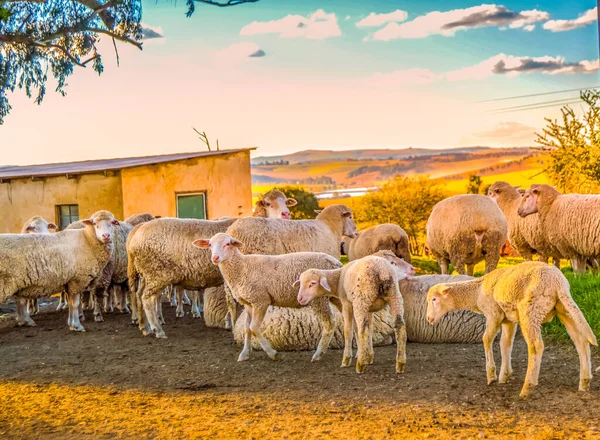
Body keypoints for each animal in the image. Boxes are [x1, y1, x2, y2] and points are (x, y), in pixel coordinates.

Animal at [193, 232, 342, 362]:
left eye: (227, 244)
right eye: (210, 244)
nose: (215, 258)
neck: (241, 267)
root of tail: (336, 263)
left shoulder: (261, 300)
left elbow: (253, 328)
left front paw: (272, 353)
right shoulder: (249, 303)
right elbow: (246, 328)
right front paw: (244, 354)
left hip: (319, 298)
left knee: (330, 323)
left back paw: (318, 354)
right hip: (335, 296)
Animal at [426, 260, 596, 398]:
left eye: (434, 299)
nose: (428, 319)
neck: (477, 292)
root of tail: (558, 282)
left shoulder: (493, 314)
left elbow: (486, 339)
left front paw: (491, 375)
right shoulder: (508, 320)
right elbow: (505, 344)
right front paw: (505, 375)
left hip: (531, 310)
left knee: (536, 346)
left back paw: (528, 387)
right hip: (563, 309)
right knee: (580, 341)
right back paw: (584, 381)